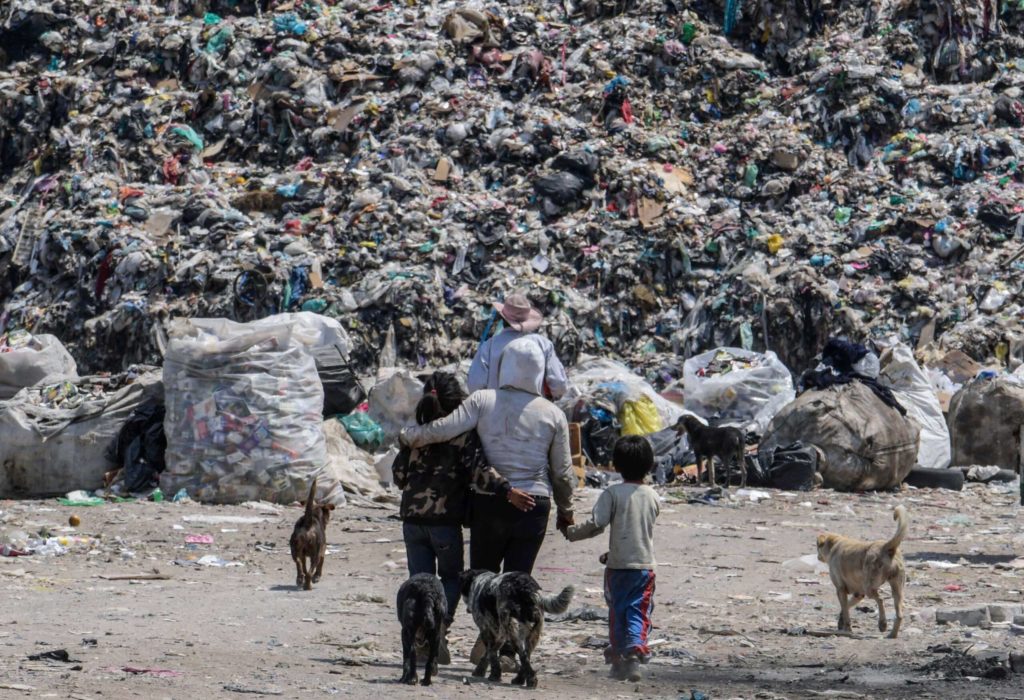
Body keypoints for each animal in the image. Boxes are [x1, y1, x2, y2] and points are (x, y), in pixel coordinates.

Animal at [815, 505, 913, 638]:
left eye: (817, 546)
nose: (817, 557)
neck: (835, 543)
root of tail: (886, 547)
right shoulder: (858, 594)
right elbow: (846, 607)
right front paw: (841, 621)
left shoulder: (840, 589)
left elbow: (845, 609)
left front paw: (847, 628)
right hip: (897, 588)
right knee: (899, 613)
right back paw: (892, 634)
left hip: (869, 587)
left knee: (880, 600)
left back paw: (882, 624)